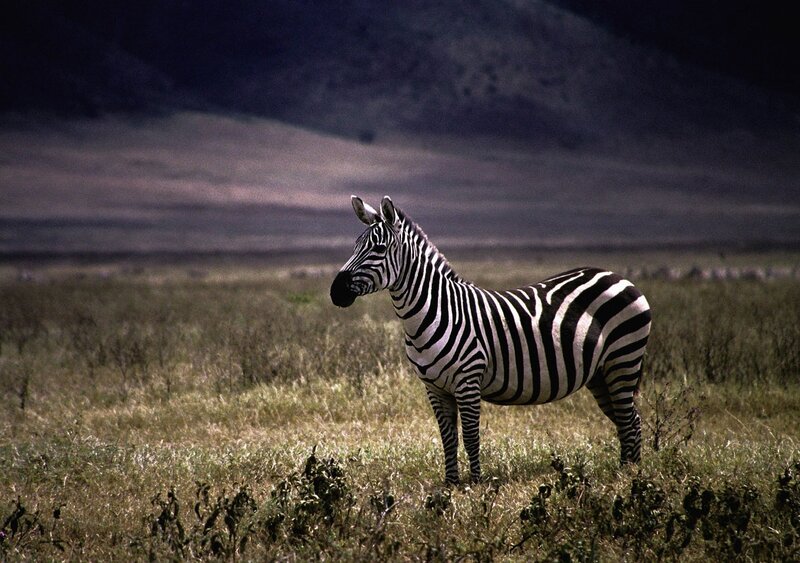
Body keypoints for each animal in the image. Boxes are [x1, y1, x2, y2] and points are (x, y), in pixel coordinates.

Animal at [330, 196, 652, 485]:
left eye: (379, 248)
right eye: (355, 245)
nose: (336, 291)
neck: (435, 311)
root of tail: (617, 275)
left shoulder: (468, 380)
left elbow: (471, 437)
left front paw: (476, 486)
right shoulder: (434, 388)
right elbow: (448, 438)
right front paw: (450, 485)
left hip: (623, 360)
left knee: (630, 421)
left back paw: (630, 479)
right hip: (600, 374)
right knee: (626, 421)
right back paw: (625, 472)